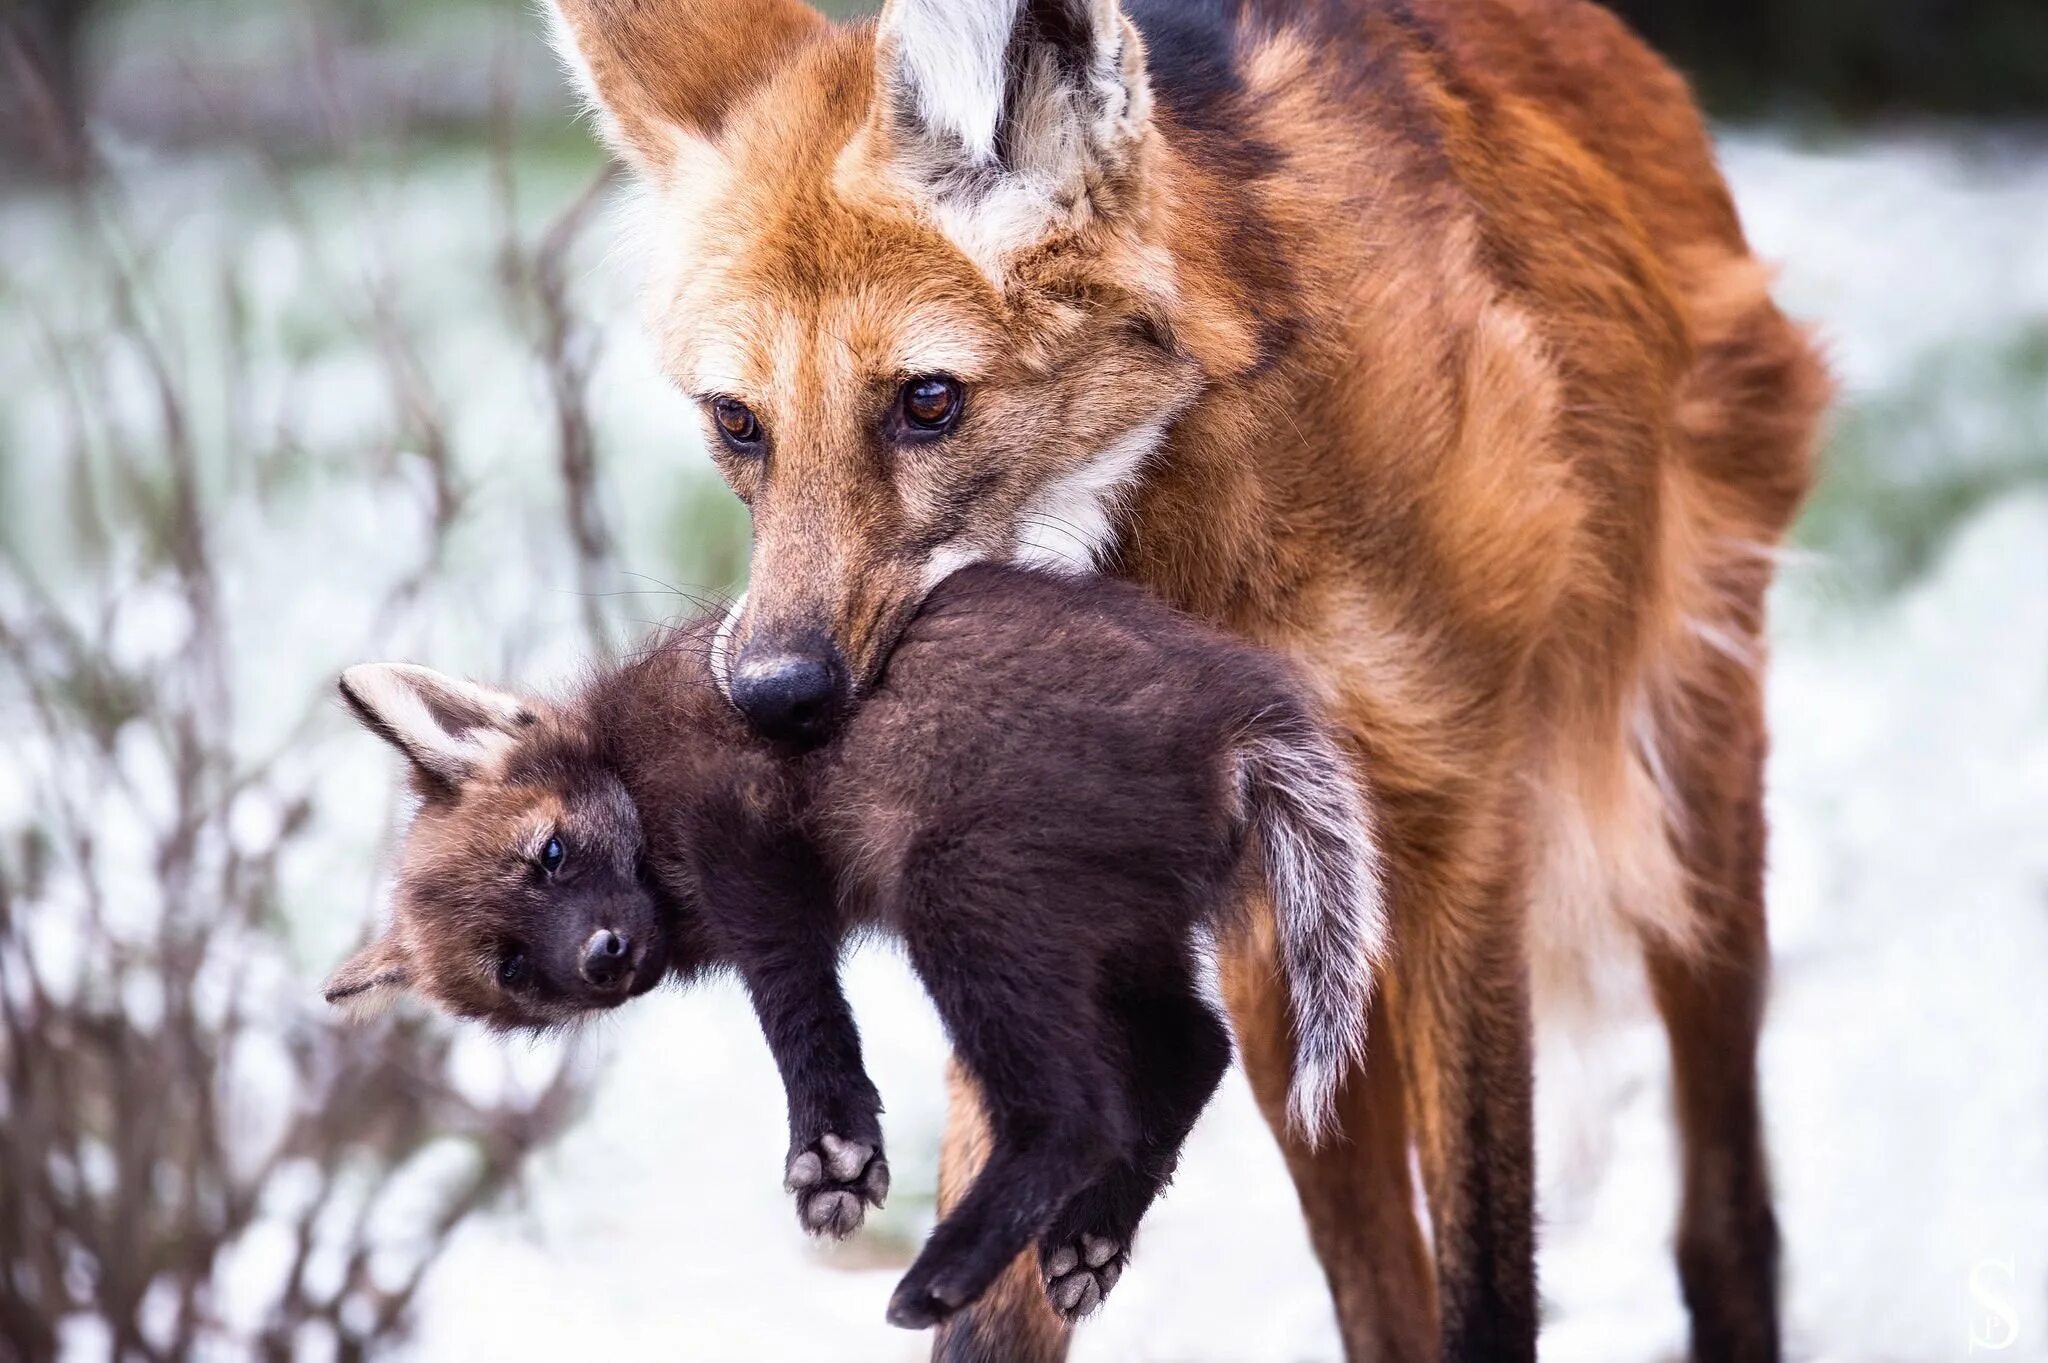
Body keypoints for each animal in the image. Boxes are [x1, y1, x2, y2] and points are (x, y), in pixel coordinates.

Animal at [327, 560, 1384, 1326]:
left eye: (549, 855)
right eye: (512, 967)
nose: (604, 957)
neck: (630, 750)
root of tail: (1236, 714)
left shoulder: (745, 842)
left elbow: (794, 1003)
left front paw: (832, 1147)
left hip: (963, 893)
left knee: (1082, 1112)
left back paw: (946, 1273)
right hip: (1108, 929)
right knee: (1197, 1045)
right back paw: (1090, 1242)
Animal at [540, 0, 1826, 1350]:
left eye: (927, 401)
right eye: (737, 423)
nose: (774, 692)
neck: (1190, 541)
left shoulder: (1458, 829)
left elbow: (1486, 1283)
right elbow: (999, 1293)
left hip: (1682, 792)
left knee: (1721, 1206)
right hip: (1286, 935)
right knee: (1376, 1281)